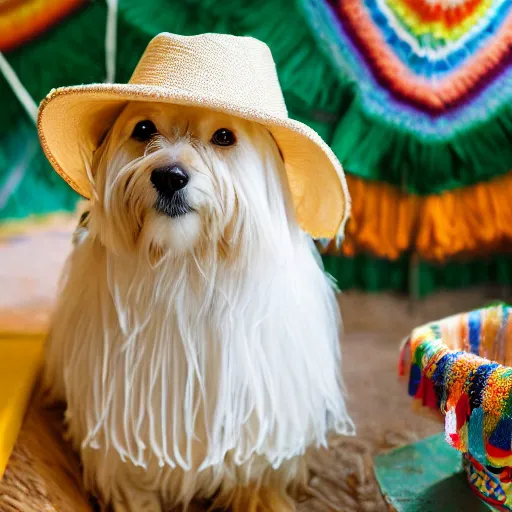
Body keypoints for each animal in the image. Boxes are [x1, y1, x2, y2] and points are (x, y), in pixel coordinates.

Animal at [39, 32, 352, 512]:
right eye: (143, 129)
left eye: (224, 136)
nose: (170, 175)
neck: (185, 264)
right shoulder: (121, 438)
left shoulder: (260, 432)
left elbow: (257, 484)